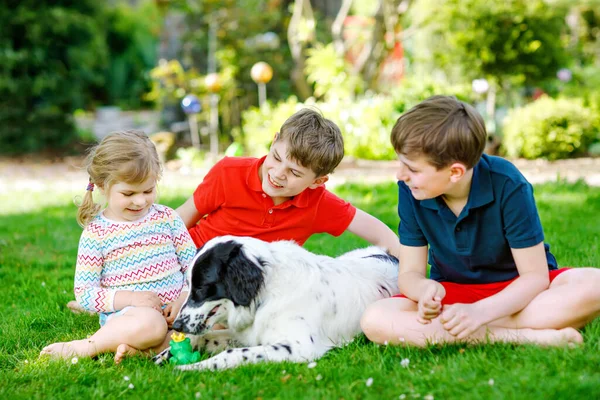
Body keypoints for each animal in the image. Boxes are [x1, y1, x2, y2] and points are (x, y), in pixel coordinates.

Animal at [155, 236, 398, 370]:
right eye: (189, 285)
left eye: (201, 288)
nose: (176, 325)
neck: (267, 292)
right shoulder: (249, 334)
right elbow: (205, 337)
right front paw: (168, 354)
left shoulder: (301, 347)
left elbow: (232, 354)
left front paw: (192, 367)